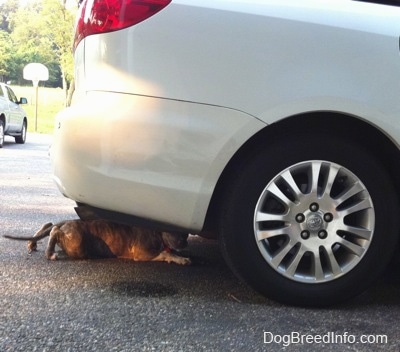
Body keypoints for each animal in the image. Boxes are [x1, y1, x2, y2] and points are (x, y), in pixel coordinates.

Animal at [4, 219, 192, 266]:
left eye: (187, 233)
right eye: (175, 231)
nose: (185, 243)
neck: (157, 233)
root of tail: (67, 222)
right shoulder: (143, 253)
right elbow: (166, 253)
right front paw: (180, 258)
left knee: (49, 224)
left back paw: (33, 243)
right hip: (77, 243)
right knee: (54, 230)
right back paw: (50, 253)